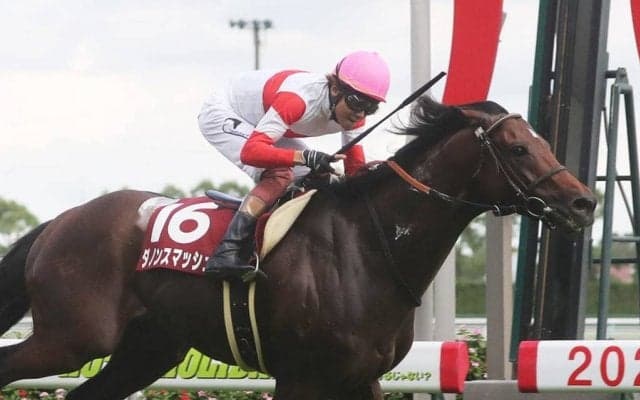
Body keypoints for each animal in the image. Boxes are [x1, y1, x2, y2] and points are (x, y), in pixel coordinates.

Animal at [0, 96, 596, 400]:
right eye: (518, 149)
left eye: (543, 140)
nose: (583, 202)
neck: (369, 248)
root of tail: (59, 223)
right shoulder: (302, 375)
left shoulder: (362, 377)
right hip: (73, 337)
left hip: (149, 346)